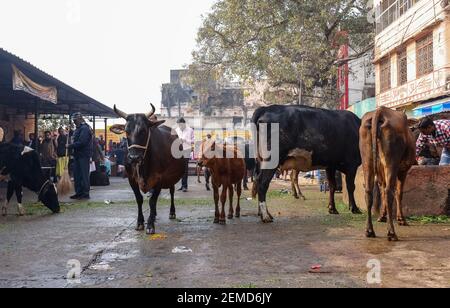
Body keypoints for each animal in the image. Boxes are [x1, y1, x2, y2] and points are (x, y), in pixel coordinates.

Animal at [360, 107, 416, 242]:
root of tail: (380, 111)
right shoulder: (403, 170)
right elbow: (399, 193)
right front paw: (401, 219)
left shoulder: (381, 173)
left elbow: (381, 191)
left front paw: (382, 216)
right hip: (392, 162)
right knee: (389, 191)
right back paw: (391, 232)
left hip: (367, 161)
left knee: (369, 192)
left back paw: (369, 230)